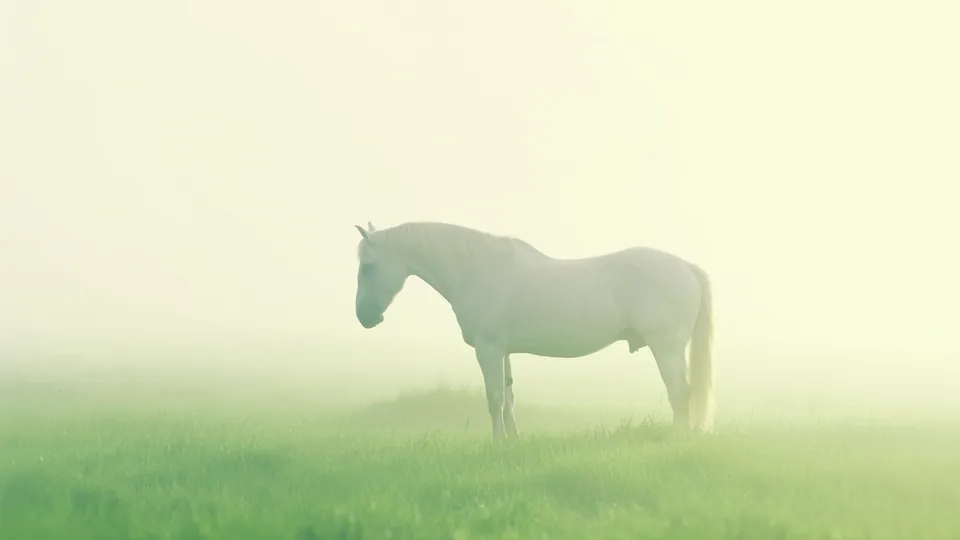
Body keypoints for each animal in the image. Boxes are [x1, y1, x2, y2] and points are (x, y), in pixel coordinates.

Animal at [352, 221, 714, 439]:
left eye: (368, 267)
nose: (364, 317)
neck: (475, 269)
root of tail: (686, 267)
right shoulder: (503, 351)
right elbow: (509, 396)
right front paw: (514, 441)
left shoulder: (488, 349)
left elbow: (494, 397)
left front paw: (497, 443)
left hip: (666, 348)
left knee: (680, 393)